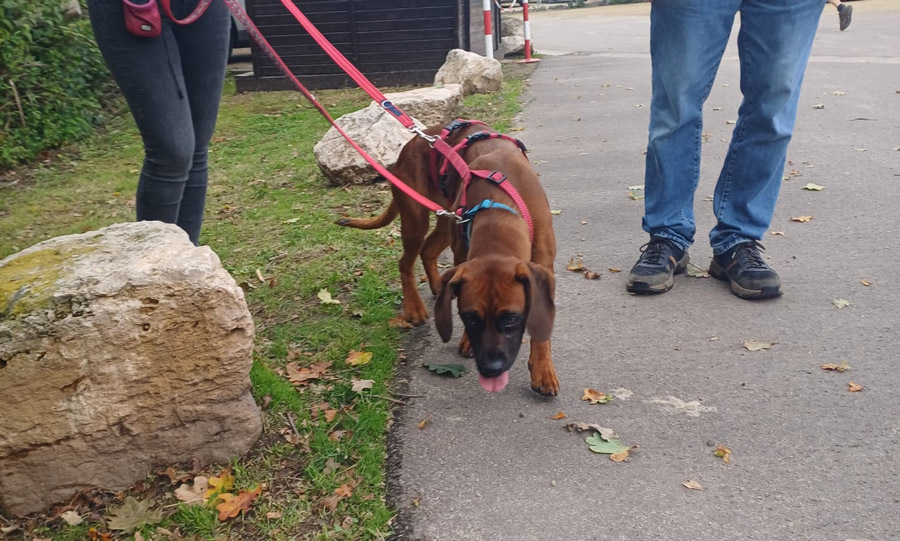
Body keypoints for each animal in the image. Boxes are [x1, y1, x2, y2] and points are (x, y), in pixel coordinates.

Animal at [336, 121, 558, 395]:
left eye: (511, 318)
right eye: (470, 318)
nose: (490, 369)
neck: (498, 209)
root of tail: (408, 147)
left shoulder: (544, 266)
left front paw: (542, 369)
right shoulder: (462, 253)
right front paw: (467, 341)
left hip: (445, 218)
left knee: (428, 250)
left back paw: (436, 286)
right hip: (417, 219)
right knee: (406, 261)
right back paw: (415, 307)